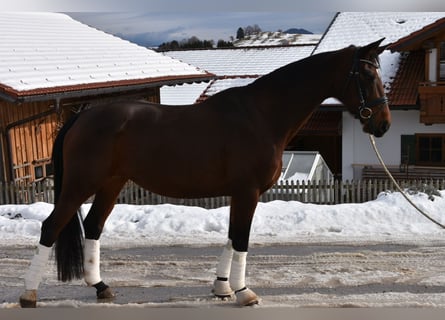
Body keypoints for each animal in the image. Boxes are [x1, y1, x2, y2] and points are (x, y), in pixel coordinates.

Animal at [20, 38, 388, 306]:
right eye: (367, 76)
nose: (382, 125)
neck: (261, 115)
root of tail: (81, 116)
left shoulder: (240, 193)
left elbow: (231, 236)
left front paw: (222, 288)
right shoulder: (248, 191)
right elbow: (241, 239)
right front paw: (243, 293)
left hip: (111, 183)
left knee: (94, 227)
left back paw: (101, 287)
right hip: (80, 184)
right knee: (51, 226)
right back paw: (29, 294)